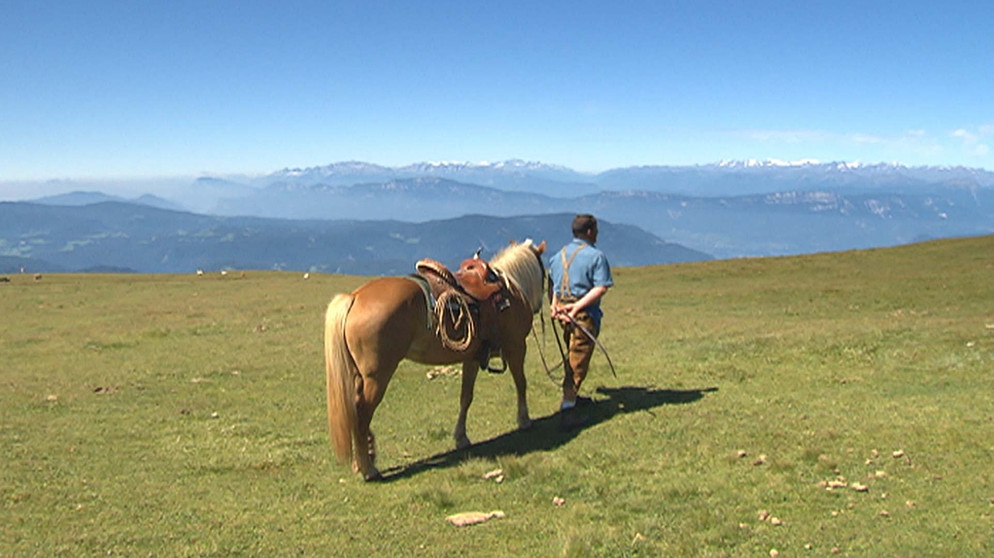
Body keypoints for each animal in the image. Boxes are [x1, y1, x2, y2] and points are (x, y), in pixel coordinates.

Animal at [324, 240, 544, 482]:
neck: (511, 289)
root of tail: (354, 297)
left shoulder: (472, 358)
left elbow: (466, 397)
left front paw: (461, 437)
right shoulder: (516, 347)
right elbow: (521, 383)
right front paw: (524, 419)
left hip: (359, 376)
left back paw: (363, 460)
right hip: (376, 377)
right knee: (362, 413)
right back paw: (368, 468)